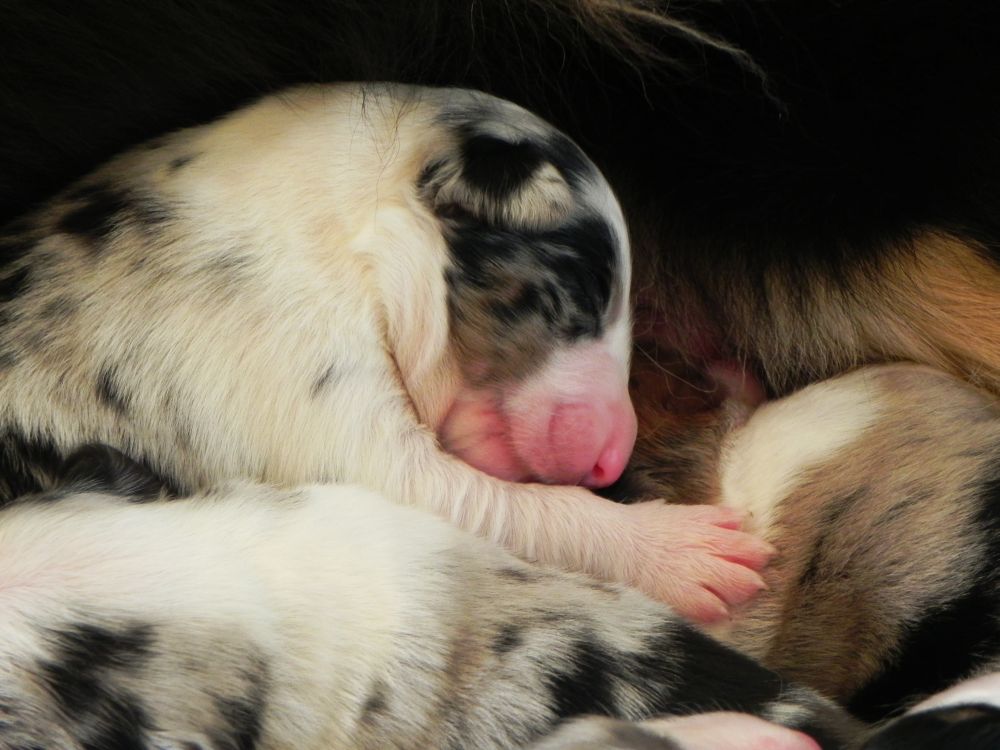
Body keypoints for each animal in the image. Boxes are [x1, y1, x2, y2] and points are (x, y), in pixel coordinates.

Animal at [0, 82, 772, 624]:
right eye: (581, 291)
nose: (613, 461)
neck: (347, 226)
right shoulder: (319, 401)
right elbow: (499, 505)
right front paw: (684, 551)